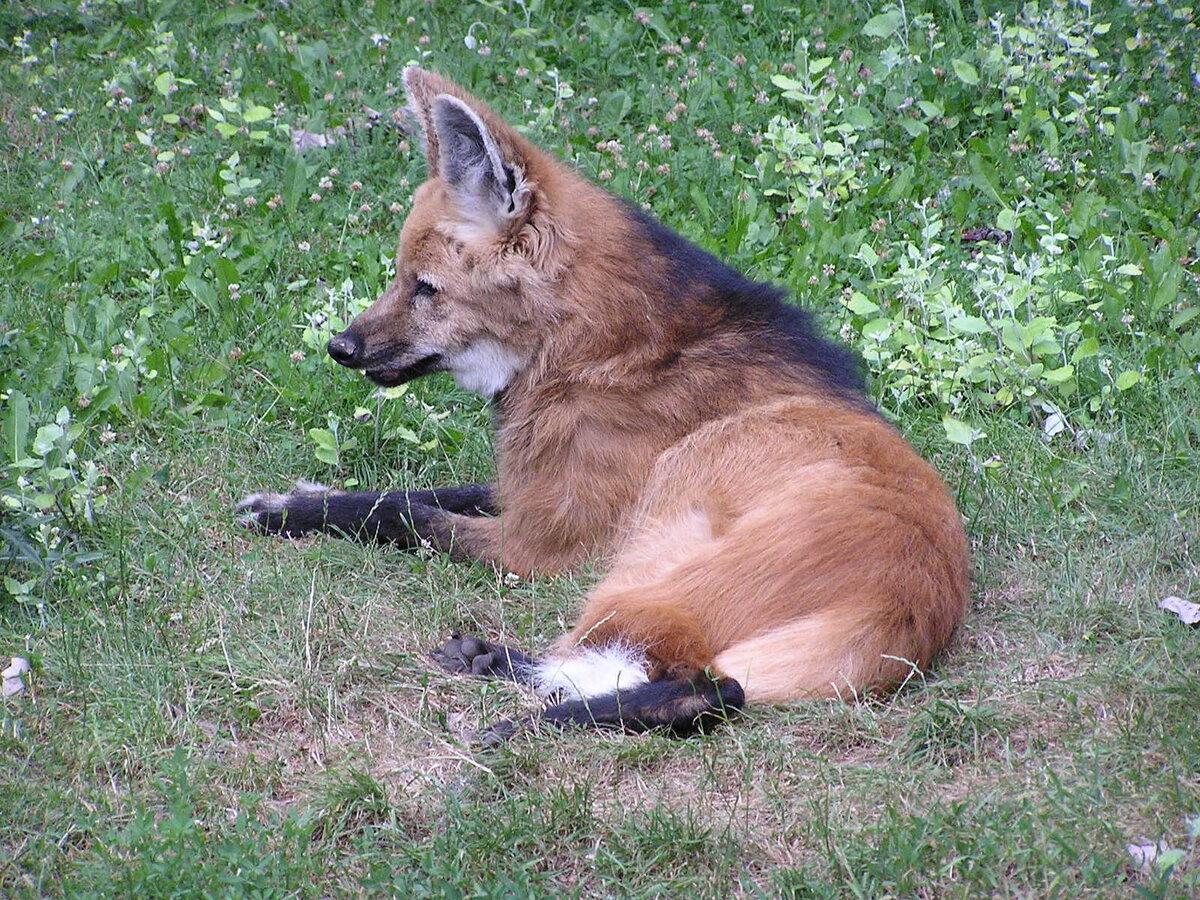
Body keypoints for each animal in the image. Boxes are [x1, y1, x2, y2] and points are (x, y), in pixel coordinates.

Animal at [236, 65, 974, 739]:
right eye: (401, 279)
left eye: (425, 288)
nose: (341, 346)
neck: (594, 351)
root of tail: (899, 613)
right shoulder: (531, 487)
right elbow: (427, 492)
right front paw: (293, 498)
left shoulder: (534, 546)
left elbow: (406, 515)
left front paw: (288, 512)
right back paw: (490, 660)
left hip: (651, 554)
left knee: (708, 686)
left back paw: (522, 718)